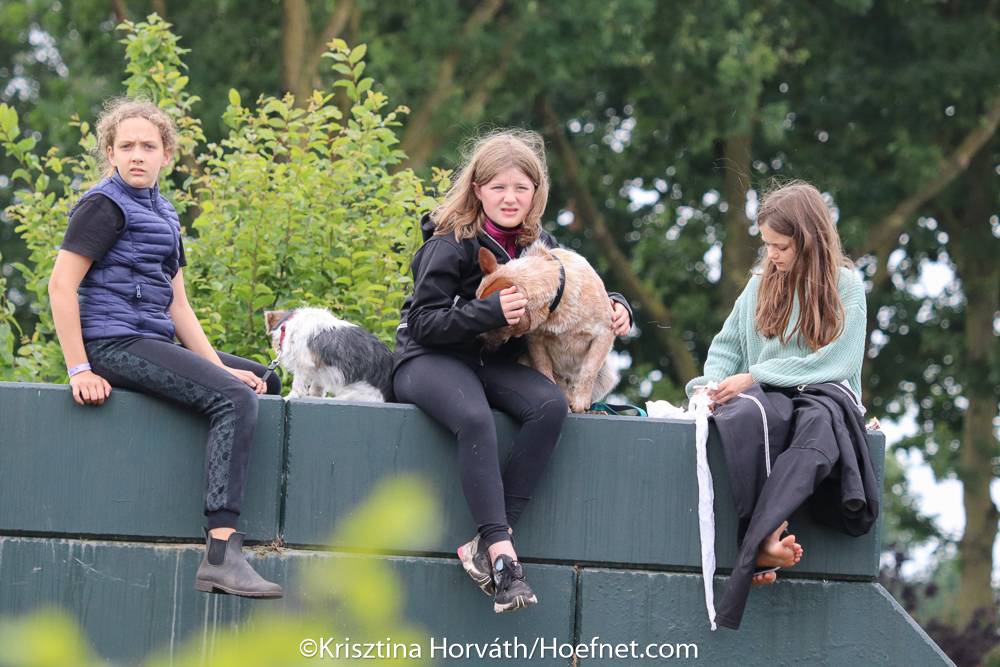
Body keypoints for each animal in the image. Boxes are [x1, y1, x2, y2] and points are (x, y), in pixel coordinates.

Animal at [264, 307, 393, 402]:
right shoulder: (320, 369)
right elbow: (317, 385)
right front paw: (315, 396)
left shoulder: (303, 363)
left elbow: (297, 384)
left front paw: (290, 396)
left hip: (354, 394)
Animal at [476, 242, 618, 413]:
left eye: (492, 319)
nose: (477, 339)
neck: (557, 301)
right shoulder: (536, 342)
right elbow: (546, 372)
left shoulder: (605, 332)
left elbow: (588, 370)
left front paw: (580, 401)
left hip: (607, 374)